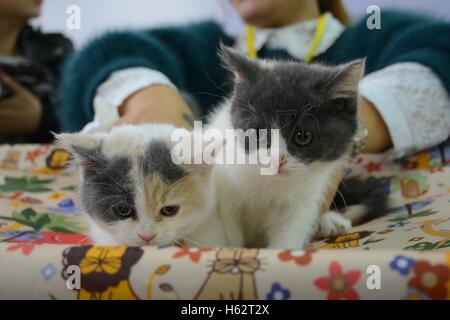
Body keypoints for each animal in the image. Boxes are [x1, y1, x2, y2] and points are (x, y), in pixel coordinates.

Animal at [207, 46, 386, 249]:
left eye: (303, 137)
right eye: (257, 133)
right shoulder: (226, 190)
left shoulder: (300, 204)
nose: (277, 159)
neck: (269, 183)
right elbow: (230, 230)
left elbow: (289, 235)